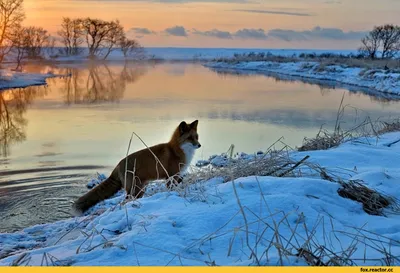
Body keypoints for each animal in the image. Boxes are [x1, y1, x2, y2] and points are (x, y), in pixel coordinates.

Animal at [72, 120, 200, 214]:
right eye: (190, 138)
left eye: (196, 137)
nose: (199, 145)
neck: (177, 151)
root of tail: (118, 165)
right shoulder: (171, 176)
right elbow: (171, 189)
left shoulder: (177, 176)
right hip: (135, 189)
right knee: (125, 201)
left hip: (140, 189)